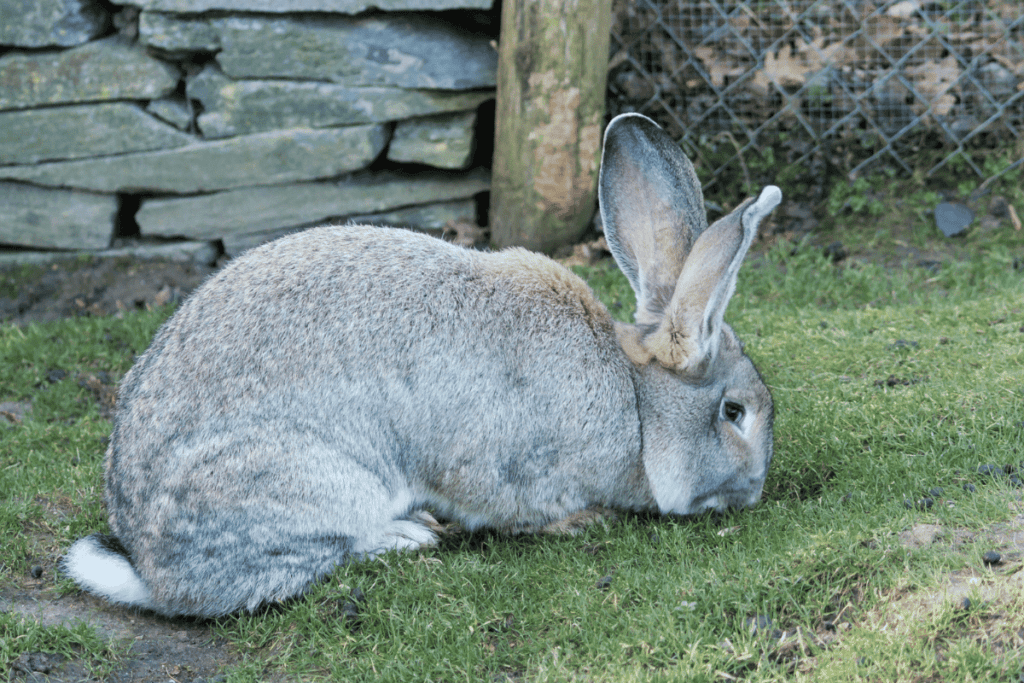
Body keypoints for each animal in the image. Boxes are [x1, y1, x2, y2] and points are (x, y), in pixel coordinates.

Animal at [61, 113, 782, 618]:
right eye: (734, 413)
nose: (754, 492)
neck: (635, 404)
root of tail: (153, 570)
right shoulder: (505, 464)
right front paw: (583, 521)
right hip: (312, 481)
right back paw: (409, 535)